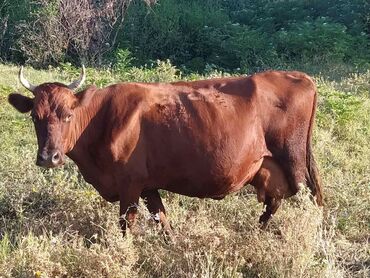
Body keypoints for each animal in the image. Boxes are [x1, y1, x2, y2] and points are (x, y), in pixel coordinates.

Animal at [7, 66, 322, 236]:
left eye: (68, 115)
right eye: (34, 116)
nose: (48, 157)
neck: (101, 119)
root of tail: (300, 76)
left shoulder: (130, 185)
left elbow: (126, 228)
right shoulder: (148, 186)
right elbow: (164, 223)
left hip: (294, 162)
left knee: (311, 201)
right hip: (271, 167)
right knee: (274, 201)